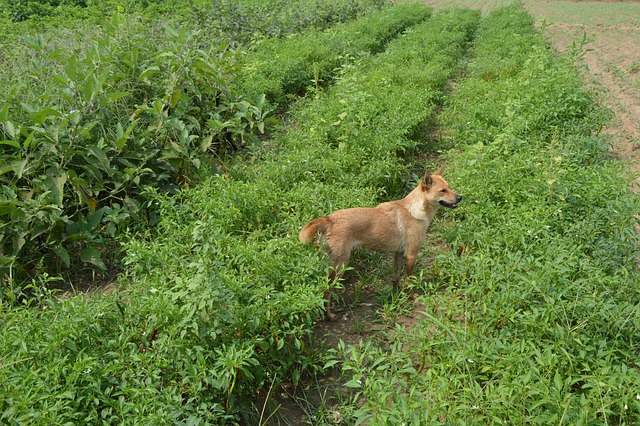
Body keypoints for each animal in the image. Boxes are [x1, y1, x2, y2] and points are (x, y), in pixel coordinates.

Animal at [300, 166, 460, 320]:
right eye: (443, 190)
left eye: (449, 187)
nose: (460, 197)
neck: (415, 210)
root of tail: (329, 219)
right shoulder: (411, 256)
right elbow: (410, 281)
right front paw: (411, 297)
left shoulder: (399, 254)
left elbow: (396, 277)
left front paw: (396, 294)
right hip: (340, 266)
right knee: (326, 292)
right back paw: (329, 316)